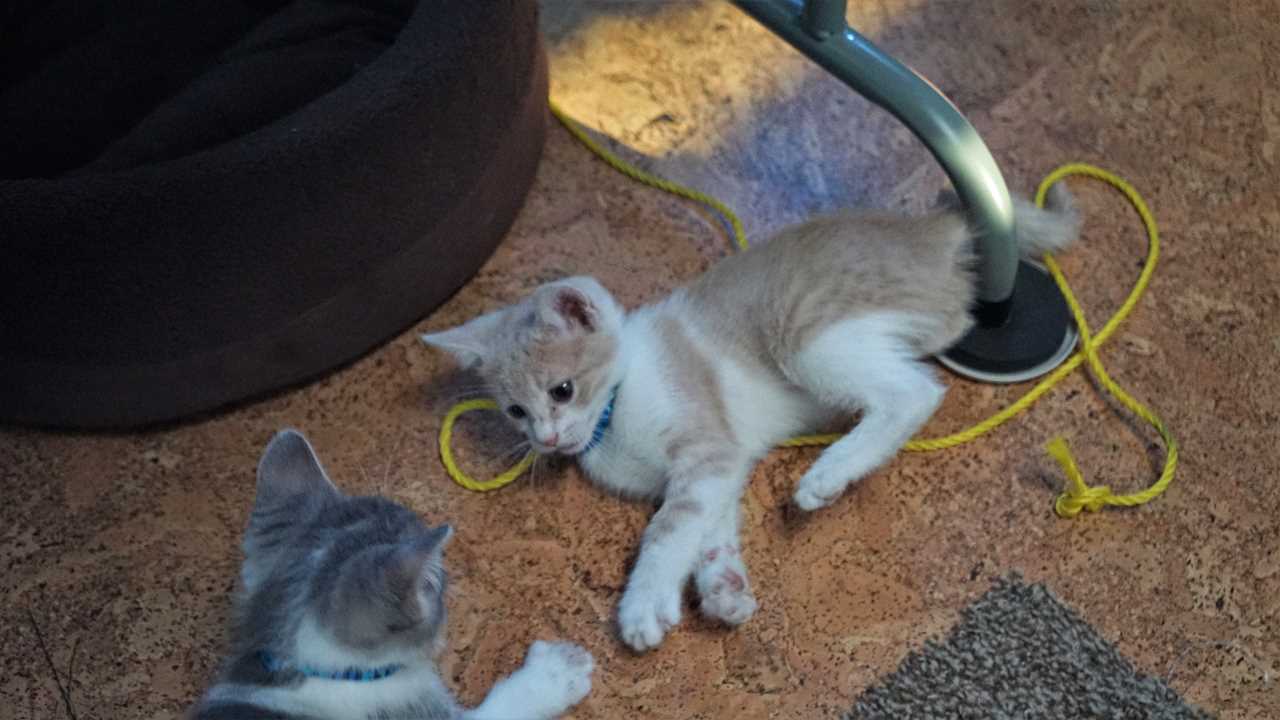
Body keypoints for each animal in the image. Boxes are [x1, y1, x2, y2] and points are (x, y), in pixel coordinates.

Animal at [421, 186, 1080, 652]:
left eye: (562, 390)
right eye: (516, 411)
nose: (550, 439)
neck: (617, 408)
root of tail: (928, 228)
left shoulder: (705, 445)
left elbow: (668, 529)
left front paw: (644, 602)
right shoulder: (723, 463)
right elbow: (707, 527)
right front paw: (722, 589)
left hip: (806, 333)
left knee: (913, 392)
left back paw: (829, 473)